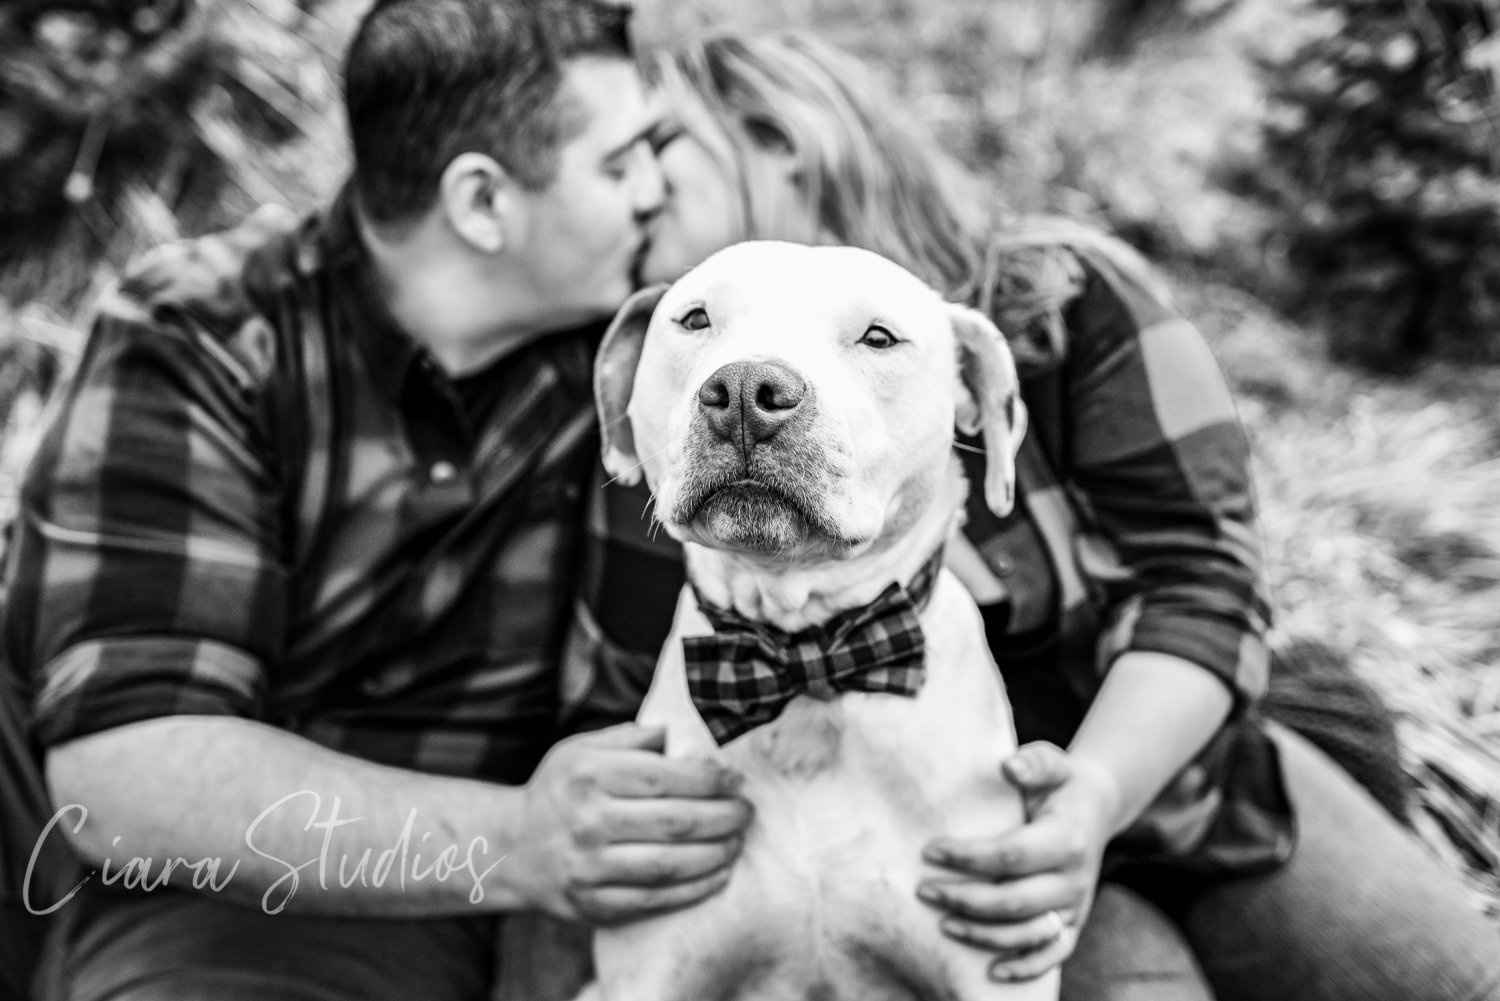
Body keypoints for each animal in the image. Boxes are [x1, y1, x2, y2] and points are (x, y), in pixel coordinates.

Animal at [591, 240, 1050, 1001]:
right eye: (694, 319)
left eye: (879, 338)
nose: (745, 390)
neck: (804, 653)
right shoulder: (647, 967)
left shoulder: (993, 959)